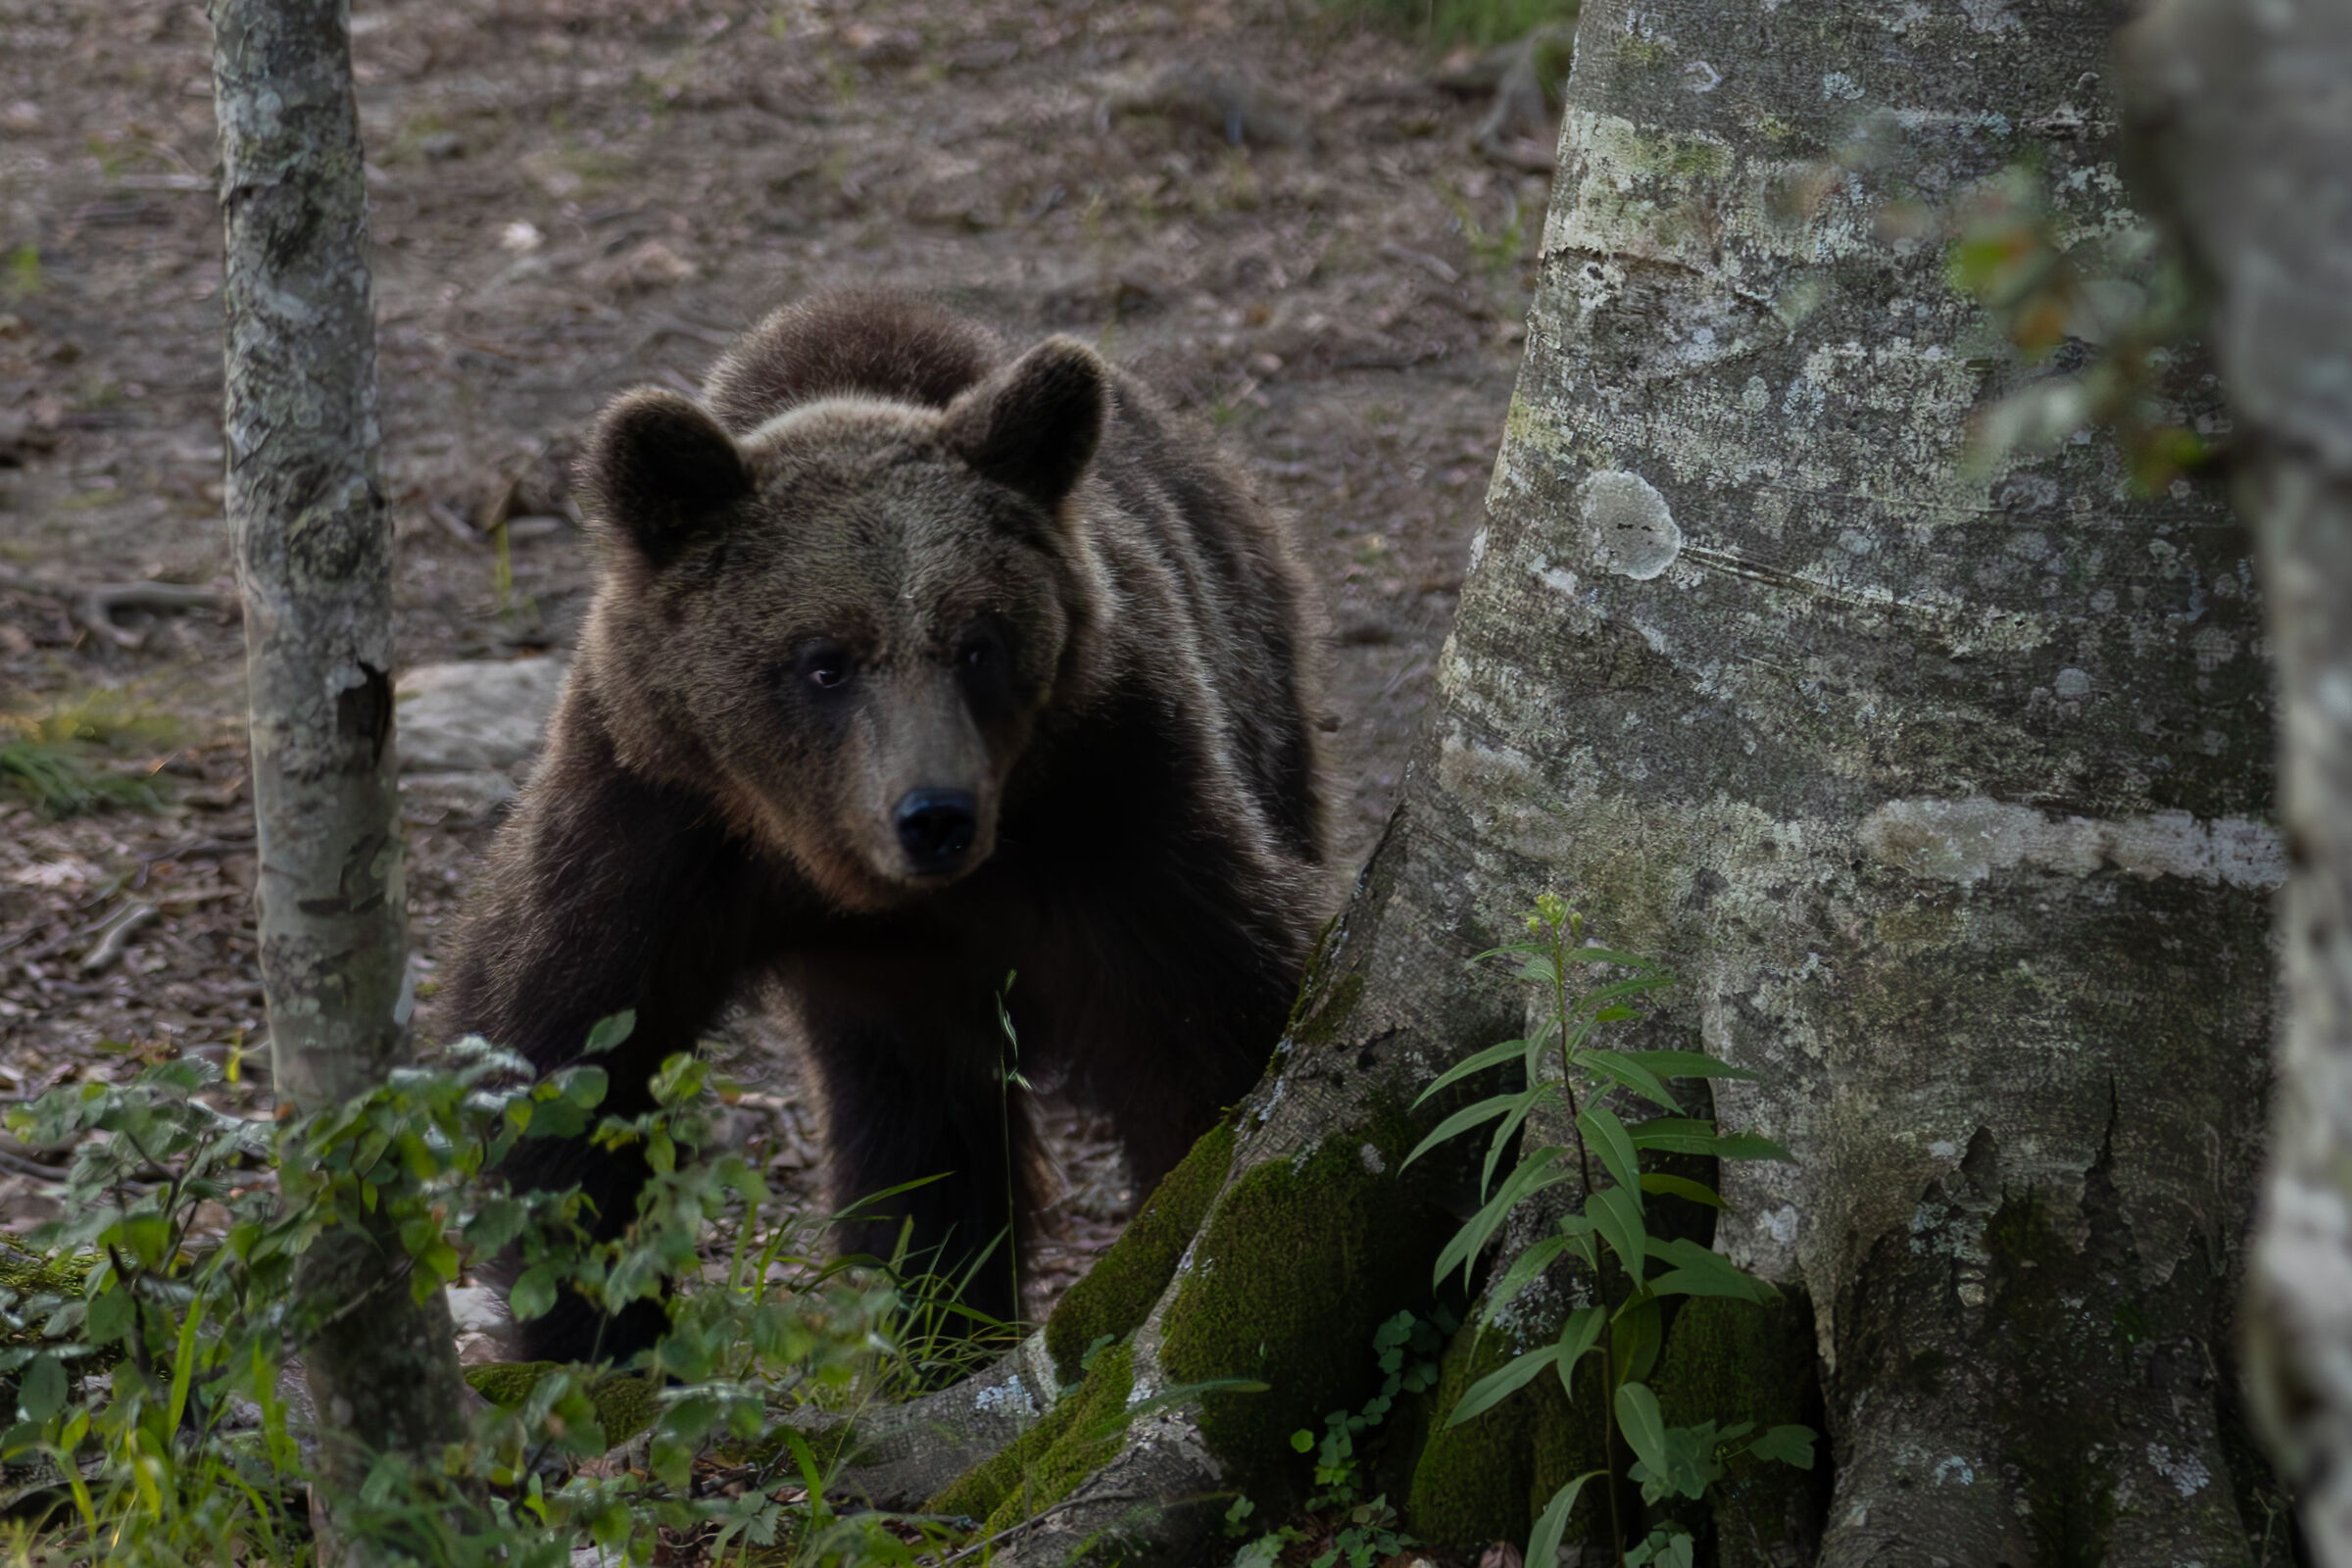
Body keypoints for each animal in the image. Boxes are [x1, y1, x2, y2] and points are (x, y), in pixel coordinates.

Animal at [444, 290, 1332, 1364]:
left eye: (979, 643)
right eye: (825, 660)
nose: (935, 815)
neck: (833, 866)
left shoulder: (1116, 797)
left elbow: (1216, 1023)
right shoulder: (653, 813)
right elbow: (565, 1058)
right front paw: (599, 1331)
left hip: (1260, 695)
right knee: (912, 1137)